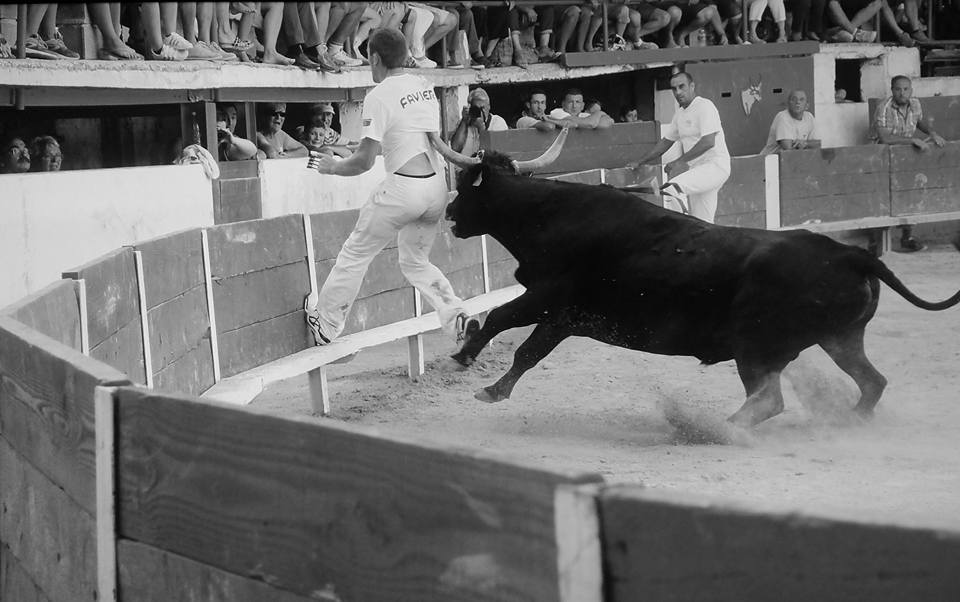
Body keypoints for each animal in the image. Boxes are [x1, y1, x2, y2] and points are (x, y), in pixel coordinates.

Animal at [446, 152, 960, 428]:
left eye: (465, 188)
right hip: (840, 338)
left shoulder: (549, 299)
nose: (449, 215)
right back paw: (849, 420)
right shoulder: (563, 318)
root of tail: (851, 254)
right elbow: (526, 348)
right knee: (871, 380)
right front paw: (488, 381)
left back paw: (721, 428)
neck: (549, 214)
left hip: (755, 345)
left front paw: (469, 363)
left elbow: (505, 324)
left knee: (768, 399)